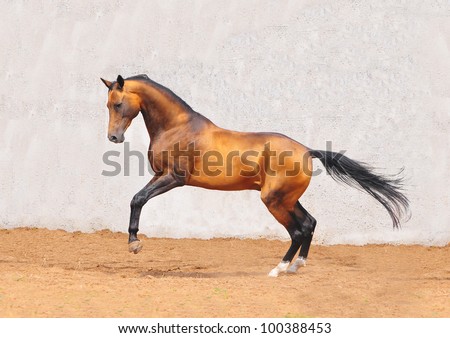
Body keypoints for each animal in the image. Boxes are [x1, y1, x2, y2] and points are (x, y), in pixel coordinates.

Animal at [100, 74, 410, 278]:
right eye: (108, 105)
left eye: (117, 104)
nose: (114, 137)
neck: (178, 127)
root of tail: (307, 151)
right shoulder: (160, 175)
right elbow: (136, 198)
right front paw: (134, 241)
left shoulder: (174, 178)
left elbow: (139, 198)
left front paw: (134, 243)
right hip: (286, 198)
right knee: (309, 223)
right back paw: (296, 266)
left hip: (274, 200)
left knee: (298, 230)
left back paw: (278, 269)